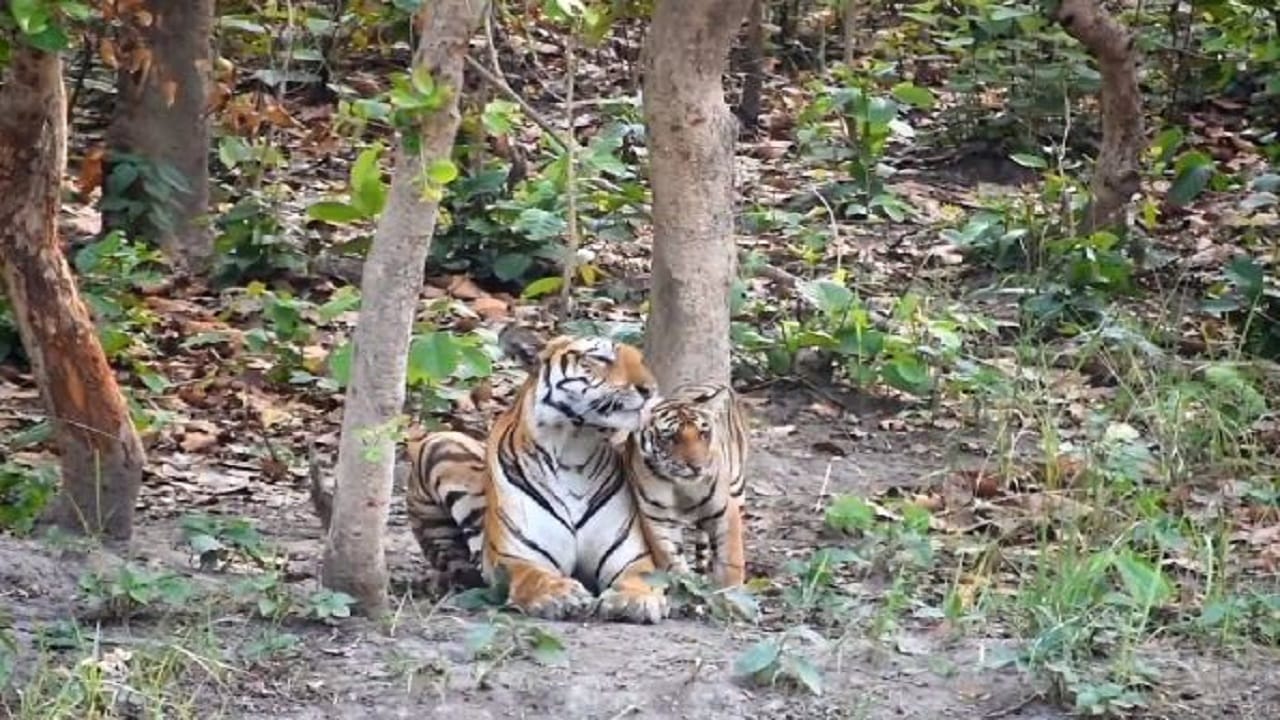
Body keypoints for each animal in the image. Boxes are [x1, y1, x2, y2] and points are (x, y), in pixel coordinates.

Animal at [405, 324, 669, 623]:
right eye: (601, 359)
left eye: (642, 361)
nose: (650, 389)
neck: (574, 451)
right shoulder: (516, 556)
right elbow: (534, 576)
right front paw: (560, 593)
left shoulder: (630, 557)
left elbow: (643, 576)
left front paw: (634, 599)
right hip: (440, 442)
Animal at [623, 382, 748, 589]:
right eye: (670, 438)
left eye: (703, 434)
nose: (697, 466)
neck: (681, 488)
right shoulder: (657, 521)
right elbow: (672, 564)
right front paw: (685, 588)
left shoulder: (724, 510)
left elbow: (731, 560)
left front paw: (730, 590)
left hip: (737, 487)